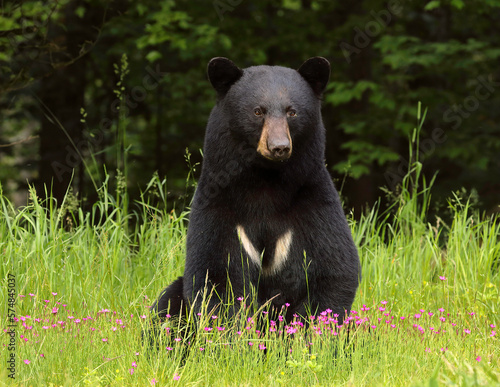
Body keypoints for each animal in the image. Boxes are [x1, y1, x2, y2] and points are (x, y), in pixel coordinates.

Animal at [152, 56, 360, 328]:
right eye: (258, 111)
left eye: (292, 111)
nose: (279, 147)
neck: (265, 180)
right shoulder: (219, 203)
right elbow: (216, 273)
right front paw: (233, 333)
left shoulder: (313, 199)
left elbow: (333, 268)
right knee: (166, 307)